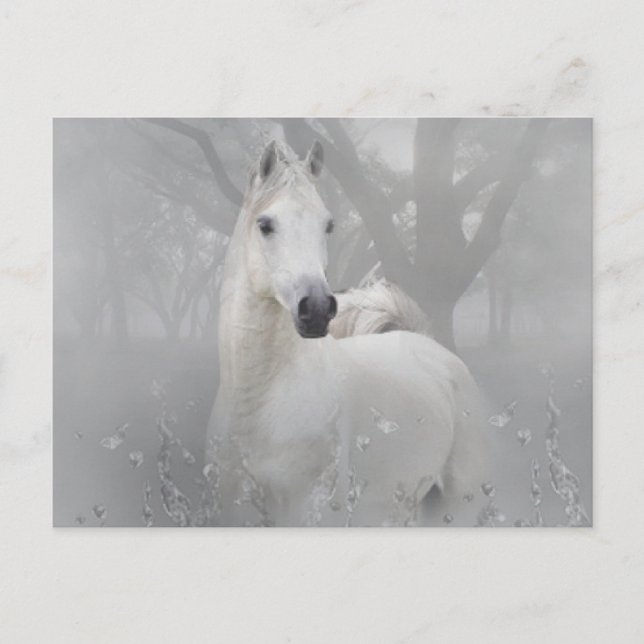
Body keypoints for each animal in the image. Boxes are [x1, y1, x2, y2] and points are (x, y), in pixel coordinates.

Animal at [206, 139, 486, 526]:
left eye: (328, 225)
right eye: (265, 224)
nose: (317, 309)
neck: (258, 407)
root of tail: (428, 345)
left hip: (455, 505)